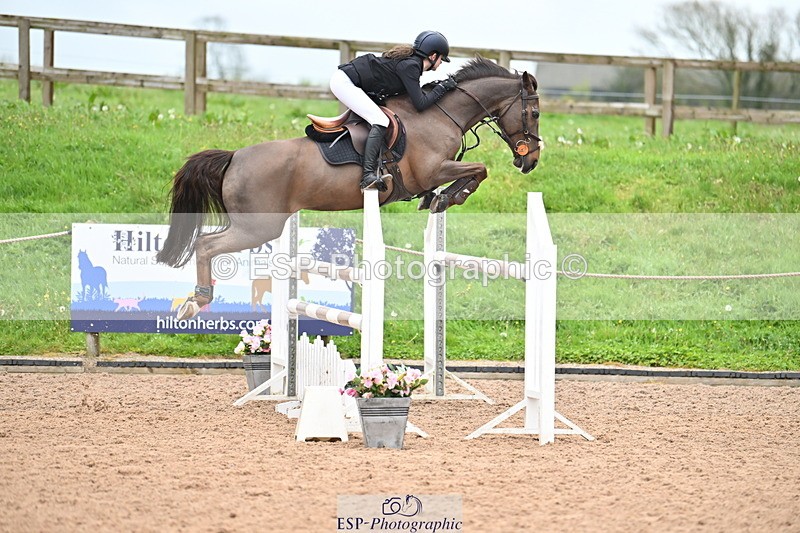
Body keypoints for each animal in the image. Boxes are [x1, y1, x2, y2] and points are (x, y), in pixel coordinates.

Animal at [155, 56, 541, 320]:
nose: (531, 160)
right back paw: (196, 301)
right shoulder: (432, 170)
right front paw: (451, 196)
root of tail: (234, 157)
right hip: (257, 226)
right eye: (535, 114)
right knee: (205, 245)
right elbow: (479, 170)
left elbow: (470, 174)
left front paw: (438, 199)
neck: (439, 114)